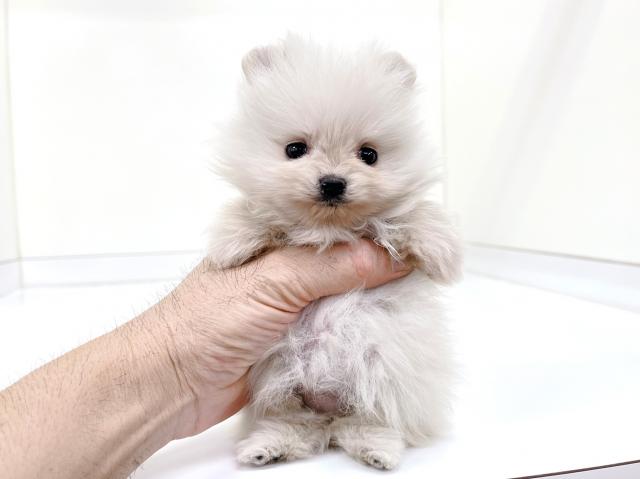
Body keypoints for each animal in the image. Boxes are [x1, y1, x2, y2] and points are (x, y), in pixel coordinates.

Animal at [208, 35, 461, 470]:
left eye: (369, 155)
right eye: (295, 149)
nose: (332, 182)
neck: (329, 228)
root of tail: (328, 409)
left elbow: (415, 213)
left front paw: (442, 250)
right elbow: (250, 210)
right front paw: (230, 243)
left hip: (382, 372)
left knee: (370, 420)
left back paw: (377, 449)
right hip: (282, 381)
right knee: (294, 423)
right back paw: (268, 447)